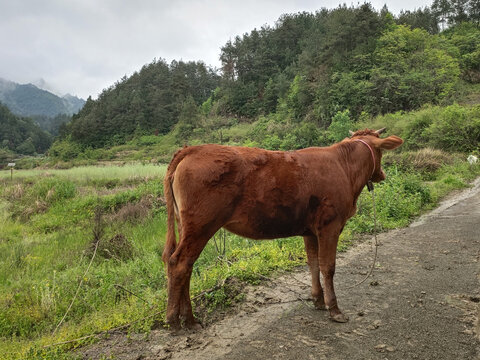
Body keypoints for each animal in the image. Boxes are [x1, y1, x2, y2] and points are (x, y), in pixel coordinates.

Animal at [163, 129, 404, 330]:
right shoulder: (330, 226)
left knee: (183, 264)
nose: (382, 174)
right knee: (180, 263)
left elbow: (313, 263)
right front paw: (334, 309)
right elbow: (328, 267)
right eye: (381, 151)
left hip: (186, 225)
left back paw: (186, 318)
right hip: (201, 225)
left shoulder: (310, 231)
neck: (344, 168)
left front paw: (317, 300)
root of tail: (191, 149)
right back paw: (179, 320)